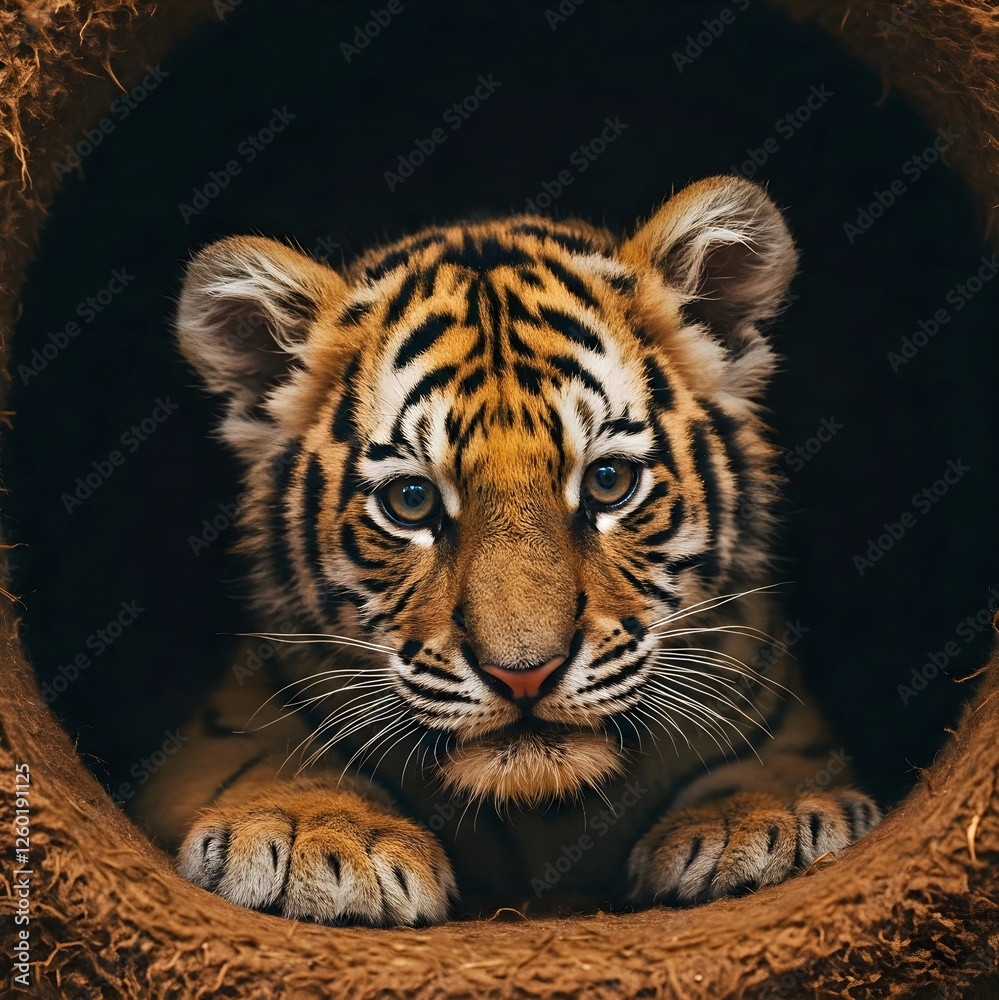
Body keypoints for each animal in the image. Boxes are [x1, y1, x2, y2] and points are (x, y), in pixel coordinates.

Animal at [132, 175, 881, 926]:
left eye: (609, 482)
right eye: (411, 500)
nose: (524, 674)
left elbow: (774, 763)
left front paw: (771, 818)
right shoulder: (222, 728)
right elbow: (270, 759)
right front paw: (316, 836)